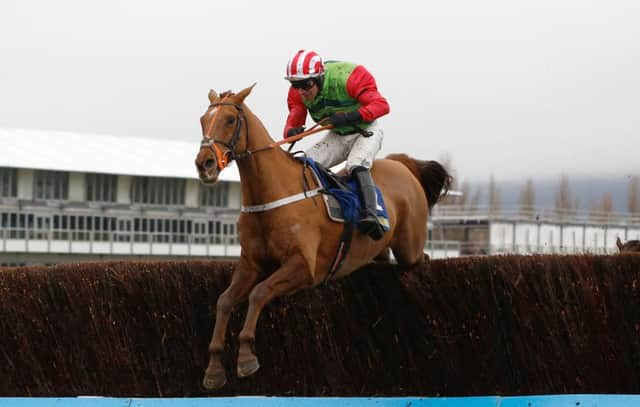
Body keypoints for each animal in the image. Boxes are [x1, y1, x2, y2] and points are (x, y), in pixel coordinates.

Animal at [194, 84, 450, 390]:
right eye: (202, 120)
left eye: (231, 119)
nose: (205, 163)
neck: (272, 194)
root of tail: (402, 164)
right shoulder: (250, 264)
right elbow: (224, 300)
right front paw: (213, 368)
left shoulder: (304, 267)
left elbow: (259, 293)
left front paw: (246, 357)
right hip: (379, 249)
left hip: (409, 247)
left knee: (420, 256)